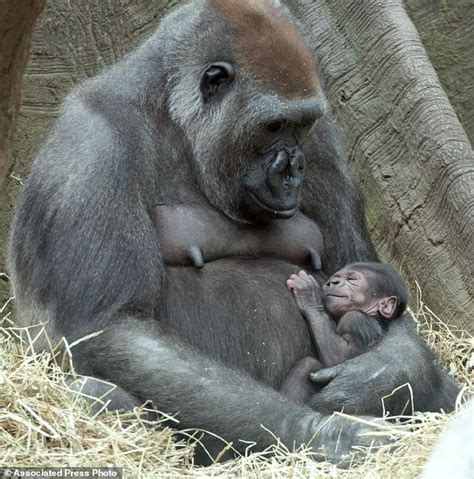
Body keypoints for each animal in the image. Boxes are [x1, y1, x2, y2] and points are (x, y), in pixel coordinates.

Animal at [282, 262, 408, 404]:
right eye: (335, 277)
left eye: (351, 279)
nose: (333, 282)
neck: (374, 315)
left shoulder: (354, 320)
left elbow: (339, 357)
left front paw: (308, 296)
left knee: (308, 364)